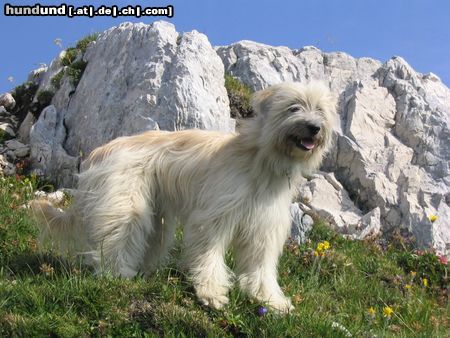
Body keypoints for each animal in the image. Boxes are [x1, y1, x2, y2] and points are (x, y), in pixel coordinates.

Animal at [30, 81, 334, 312]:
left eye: (320, 109)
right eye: (294, 107)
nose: (314, 127)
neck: (261, 160)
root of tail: (99, 152)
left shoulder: (264, 228)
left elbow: (261, 267)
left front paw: (270, 300)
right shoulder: (214, 215)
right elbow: (208, 254)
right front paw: (211, 293)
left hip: (155, 215)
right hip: (126, 202)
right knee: (117, 238)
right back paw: (119, 274)